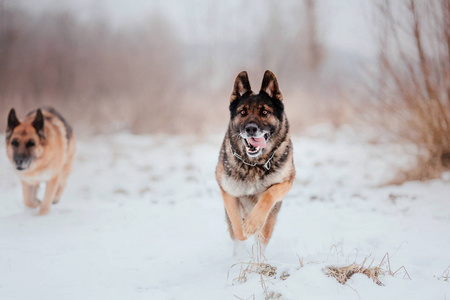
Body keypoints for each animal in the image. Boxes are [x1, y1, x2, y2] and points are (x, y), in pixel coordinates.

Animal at [217, 71, 296, 248]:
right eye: (242, 112)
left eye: (265, 112)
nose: (251, 129)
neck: (253, 164)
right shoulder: (227, 190)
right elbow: (237, 225)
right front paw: (244, 230)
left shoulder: (286, 181)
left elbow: (269, 194)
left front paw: (253, 223)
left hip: (270, 221)